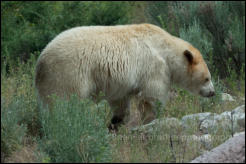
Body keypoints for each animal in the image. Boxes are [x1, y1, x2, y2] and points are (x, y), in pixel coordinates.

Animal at [35, 23, 215, 128]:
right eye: (207, 78)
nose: (212, 92)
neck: (166, 48)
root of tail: (41, 61)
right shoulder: (154, 66)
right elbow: (152, 95)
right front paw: (150, 119)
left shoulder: (120, 82)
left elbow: (120, 102)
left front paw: (116, 122)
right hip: (67, 72)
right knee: (62, 103)